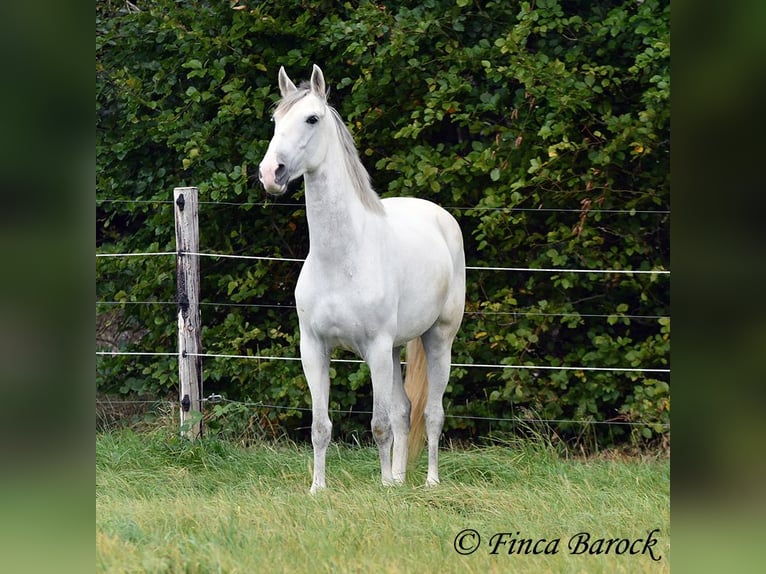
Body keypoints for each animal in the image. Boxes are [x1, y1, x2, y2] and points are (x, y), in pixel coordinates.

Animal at [258, 65, 464, 492]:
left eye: (312, 118)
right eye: (275, 121)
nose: (271, 173)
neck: (342, 258)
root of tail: (440, 217)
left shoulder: (376, 349)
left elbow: (380, 424)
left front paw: (383, 487)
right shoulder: (313, 349)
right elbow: (321, 426)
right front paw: (318, 488)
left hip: (438, 339)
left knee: (432, 414)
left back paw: (429, 482)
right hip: (398, 348)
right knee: (405, 411)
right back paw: (401, 478)